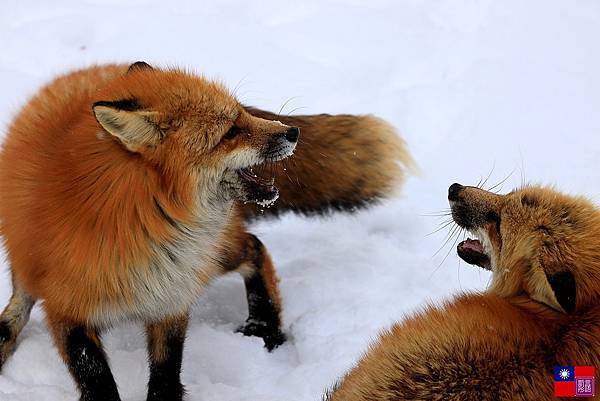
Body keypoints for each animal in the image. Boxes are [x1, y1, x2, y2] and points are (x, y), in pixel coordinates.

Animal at [0, 62, 412, 400]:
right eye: (230, 132)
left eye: (242, 113)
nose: (293, 131)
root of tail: (105, 68)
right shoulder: (66, 310)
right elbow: (97, 380)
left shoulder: (172, 292)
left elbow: (165, 378)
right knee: (18, 307)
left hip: (212, 255)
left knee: (255, 248)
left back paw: (265, 327)